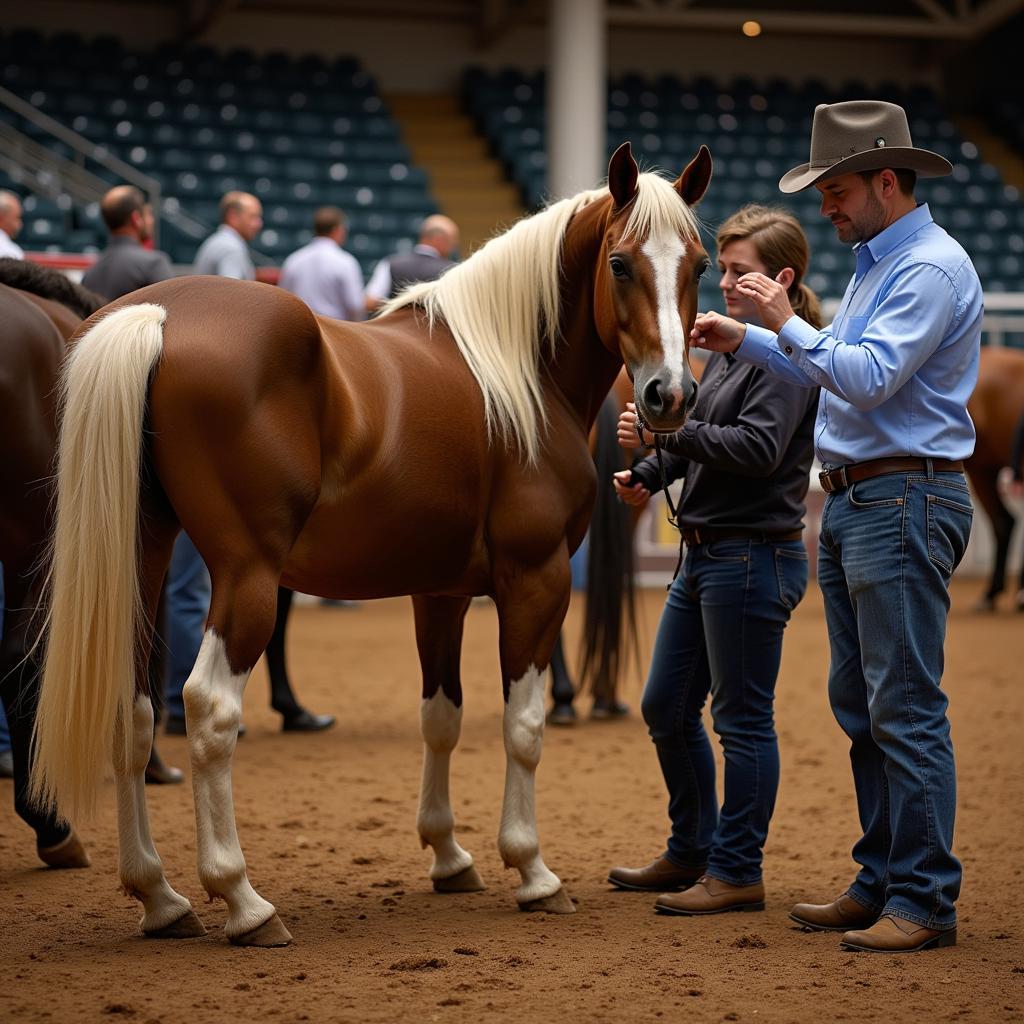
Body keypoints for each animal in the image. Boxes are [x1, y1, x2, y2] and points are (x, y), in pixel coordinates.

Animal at [32, 142, 712, 942]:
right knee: (209, 711)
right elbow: (524, 725)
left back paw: (161, 897)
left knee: (132, 715)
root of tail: (157, 314)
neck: (520, 374)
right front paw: (533, 870)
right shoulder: (536, 579)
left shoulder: (440, 592)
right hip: (247, 574)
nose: (670, 395)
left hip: (142, 555)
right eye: (620, 263)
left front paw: (449, 857)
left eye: (700, 266)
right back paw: (242, 900)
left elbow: (441, 717)